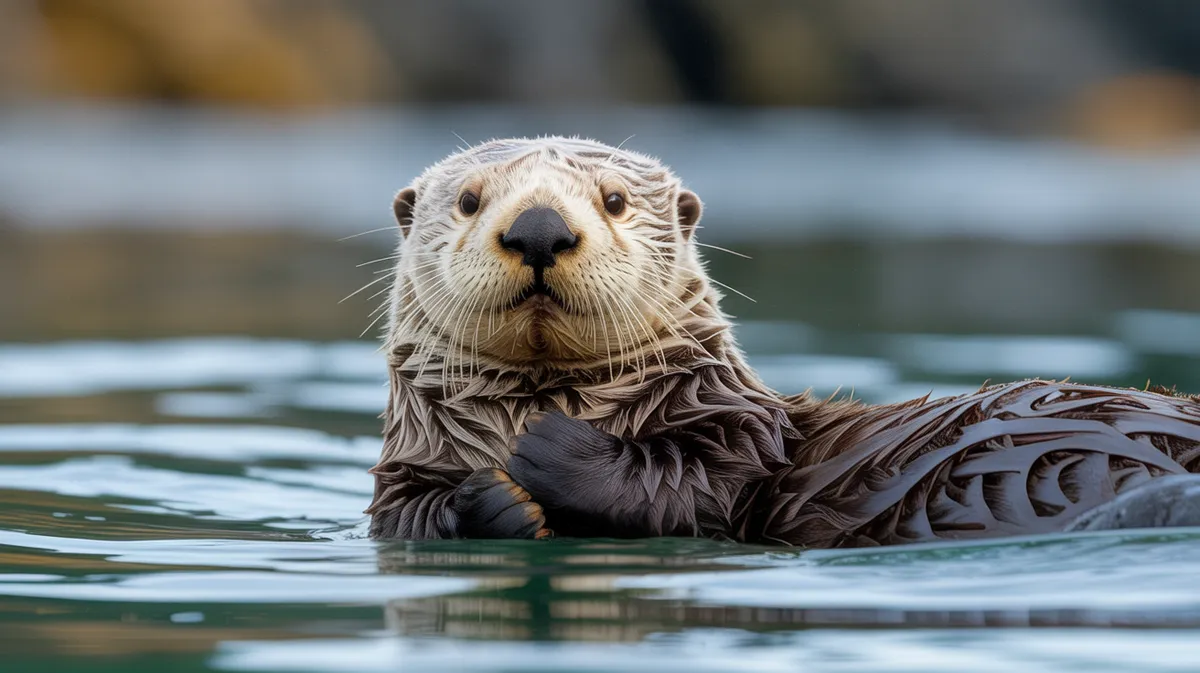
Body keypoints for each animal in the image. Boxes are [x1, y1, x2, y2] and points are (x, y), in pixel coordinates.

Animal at [365, 136, 1200, 548]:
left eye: (615, 199)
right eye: (470, 199)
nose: (540, 228)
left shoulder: (739, 440)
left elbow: (688, 487)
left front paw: (547, 446)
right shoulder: (403, 477)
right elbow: (407, 517)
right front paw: (489, 502)